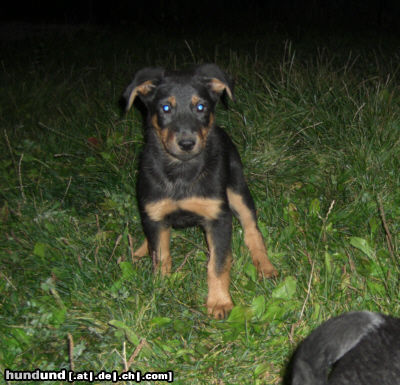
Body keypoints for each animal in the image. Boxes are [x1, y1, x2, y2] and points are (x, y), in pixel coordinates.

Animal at [123, 63, 276, 318]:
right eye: (165, 108)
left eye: (201, 107)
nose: (187, 143)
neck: (182, 173)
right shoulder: (155, 212)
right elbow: (161, 255)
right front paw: (161, 288)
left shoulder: (218, 217)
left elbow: (218, 264)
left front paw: (219, 302)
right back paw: (139, 250)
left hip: (237, 188)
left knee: (252, 230)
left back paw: (264, 266)